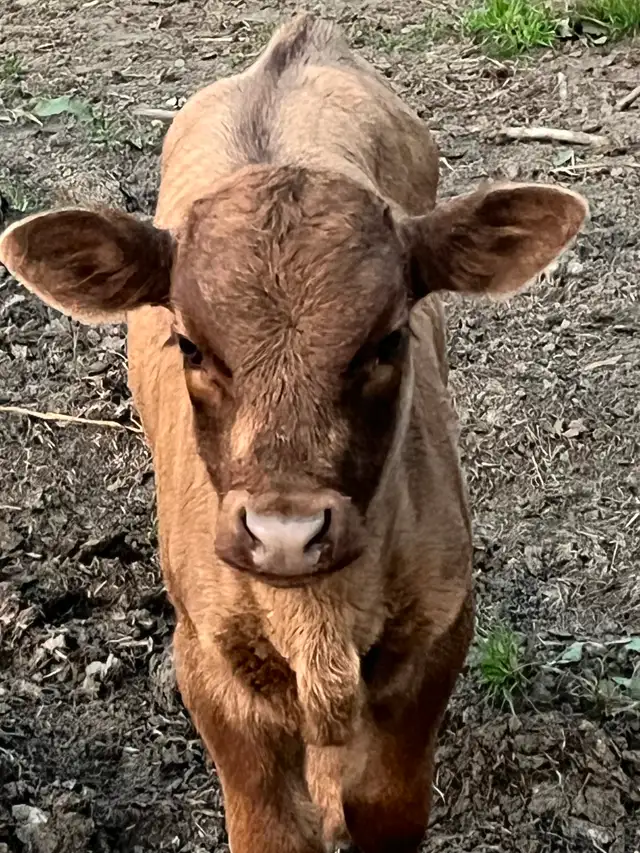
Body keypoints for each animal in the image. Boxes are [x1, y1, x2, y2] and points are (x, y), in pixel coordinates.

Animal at [0, 13, 588, 853]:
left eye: (387, 339)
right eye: (190, 345)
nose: (286, 534)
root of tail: (297, 41)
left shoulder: (438, 635)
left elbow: (384, 801)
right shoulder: (208, 664)